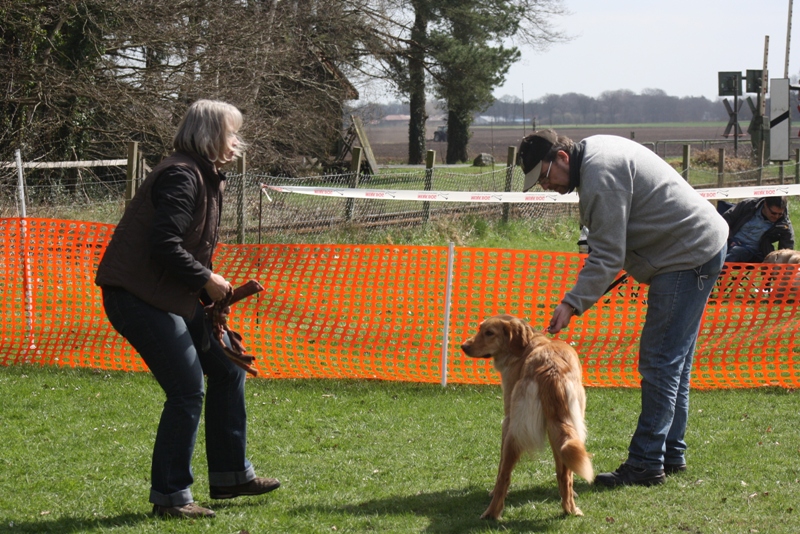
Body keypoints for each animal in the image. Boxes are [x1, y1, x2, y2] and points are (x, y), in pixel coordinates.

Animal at [460, 314, 593, 519]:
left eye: (489, 333)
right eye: (479, 329)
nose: (463, 346)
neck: (526, 345)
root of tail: (551, 369)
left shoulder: (507, 420)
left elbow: (500, 467)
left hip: (515, 431)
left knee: (504, 476)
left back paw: (491, 513)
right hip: (564, 430)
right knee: (565, 473)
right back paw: (570, 509)